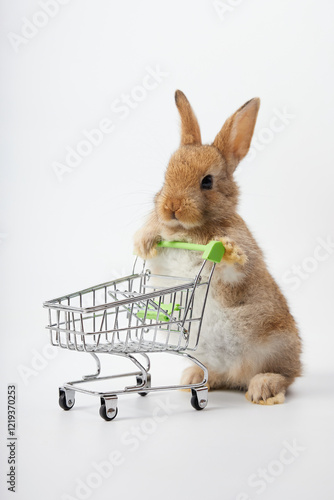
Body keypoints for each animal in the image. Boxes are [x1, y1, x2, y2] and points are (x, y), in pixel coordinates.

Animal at [134, 90, 302, 404]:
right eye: (166, 175)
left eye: (207, 182)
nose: (171, 206)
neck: (188, 230)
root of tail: (236, 374)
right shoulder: (162, 268)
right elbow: (153, 253)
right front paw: (143, 239)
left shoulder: (242, 267)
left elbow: (238, 269)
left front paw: (226, 250)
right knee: (213, 375)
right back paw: (192, 379)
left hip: (279, 345)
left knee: (286, 375)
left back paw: (262, 388)